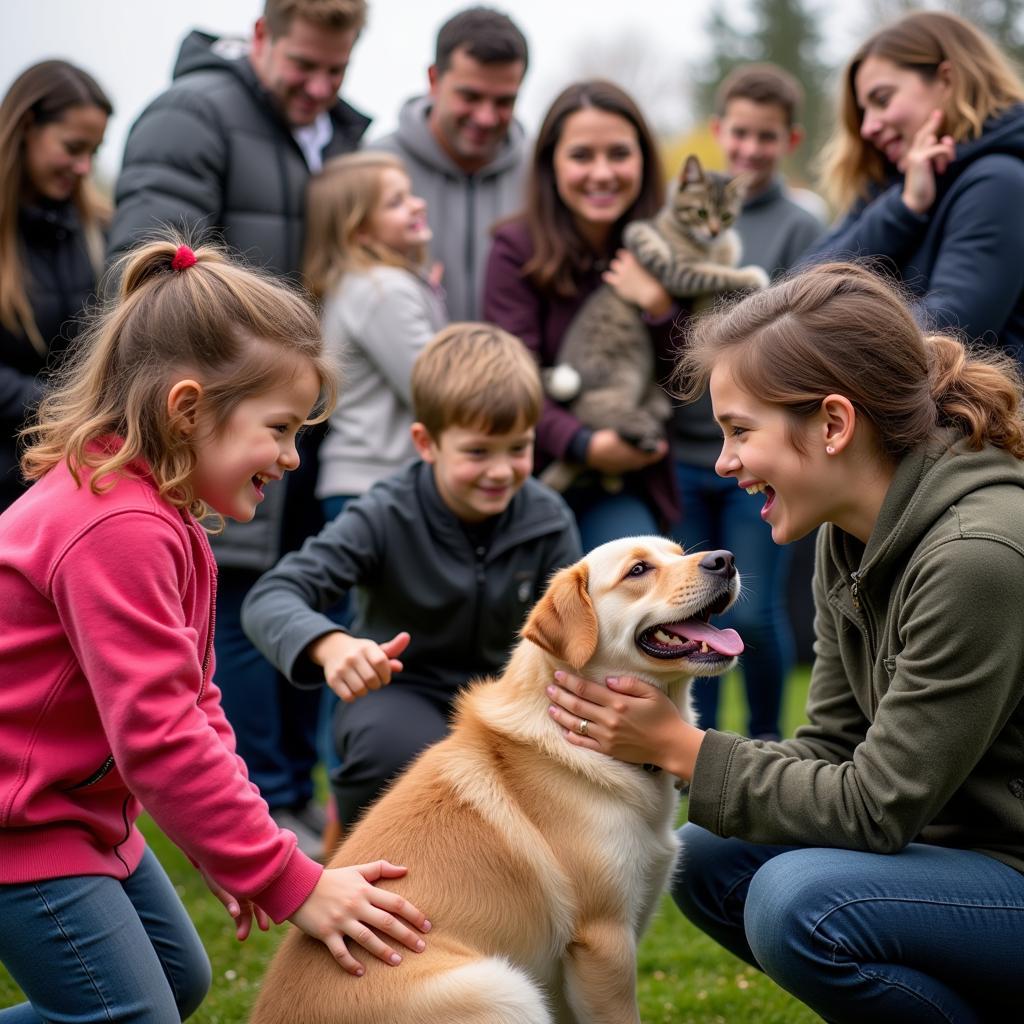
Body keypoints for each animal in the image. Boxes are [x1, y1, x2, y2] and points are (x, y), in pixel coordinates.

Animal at [544, 155, 770, 495]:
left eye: (726, 216)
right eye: (700, 212)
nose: (714, 231)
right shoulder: (680, 272)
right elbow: (716, 272)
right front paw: (753, 275)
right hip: (619, 378)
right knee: (597, 416)